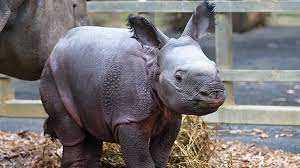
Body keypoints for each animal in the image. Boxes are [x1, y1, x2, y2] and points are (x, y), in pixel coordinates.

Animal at [41, 1, 226, 168]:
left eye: (216, 68)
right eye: (178, 77)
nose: (215, 93)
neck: (154, 66)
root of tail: (58, 44)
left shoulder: (171, 115)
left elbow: (161, 156)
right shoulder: (128, 118)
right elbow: (141, 161)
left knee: (92, 131)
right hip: (52, 74)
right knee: (73, 136)